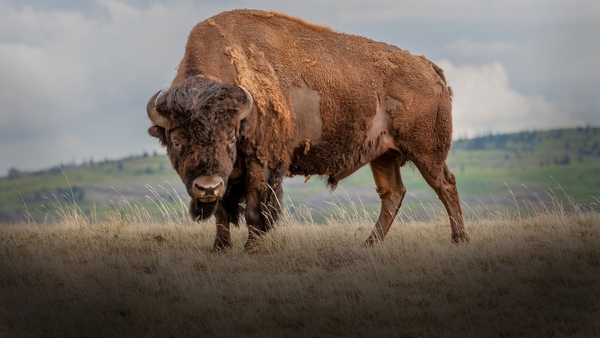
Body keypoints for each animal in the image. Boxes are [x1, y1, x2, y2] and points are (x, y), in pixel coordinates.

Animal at [145, 9, 468, 251]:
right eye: (176, 141)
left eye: (229, 138)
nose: (207, 186)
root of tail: (428, 68)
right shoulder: (229, 176)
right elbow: (223, 211)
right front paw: (220, 249)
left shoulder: (261, 165)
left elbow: (254, 212)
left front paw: (251, 249)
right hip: (384, 155)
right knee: (392, 194)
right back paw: (369, 244)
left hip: (426, 152)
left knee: (446, 185)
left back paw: (458, 239)